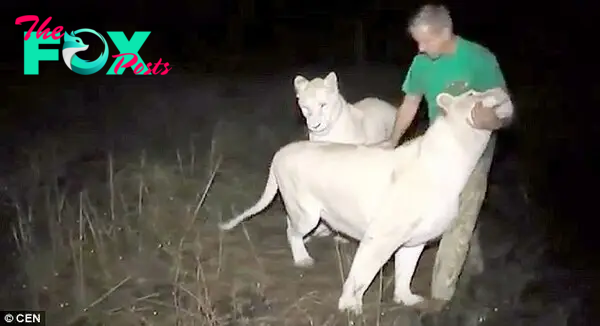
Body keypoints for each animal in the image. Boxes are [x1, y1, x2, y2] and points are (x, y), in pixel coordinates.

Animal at [220, 88, 510, 314]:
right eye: (472, 93)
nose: (500, 90)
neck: (459, 158)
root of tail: (280, 152)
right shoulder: (380, 236)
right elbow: (363, 272)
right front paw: (350, 305)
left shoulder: (416, 239)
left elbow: (406, 270)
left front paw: (405, 298)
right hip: (305, 213)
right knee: (291, 229)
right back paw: (302, 259)